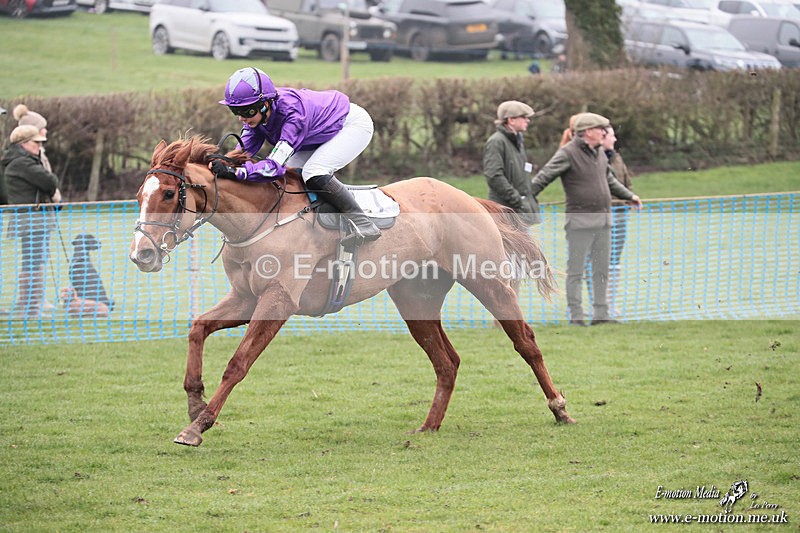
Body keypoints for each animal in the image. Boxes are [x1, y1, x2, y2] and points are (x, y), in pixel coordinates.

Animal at [129, 135, 575, 446]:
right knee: (447, 362)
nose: (140, 254)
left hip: (487, 280)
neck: (260, 220)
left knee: (525, 342)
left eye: (168, 193)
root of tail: (469, 197)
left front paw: (198, 426)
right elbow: (198, 327)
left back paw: (560, 409)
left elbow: (238, 363)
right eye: (139, 196)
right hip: (416, 299)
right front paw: (194, 401)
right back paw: (429, 426)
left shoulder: (277, 300)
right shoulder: (245, 298)